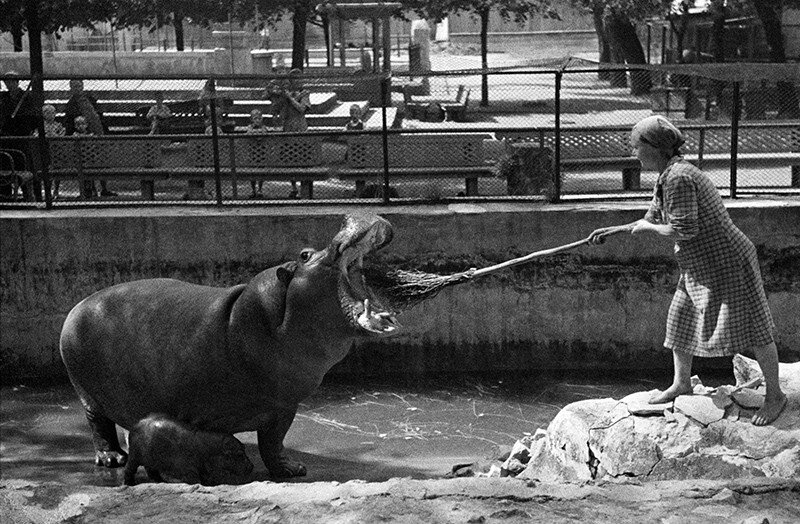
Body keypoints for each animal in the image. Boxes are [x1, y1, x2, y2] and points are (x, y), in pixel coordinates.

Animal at [124, 414, 253, 488]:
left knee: (151, 471)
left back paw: (160, 481)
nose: (251, 466)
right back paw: (129, 484)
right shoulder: (189, 470)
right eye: (239, 454)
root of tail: (136, 424)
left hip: (151, 459)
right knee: (129, 470)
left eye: (244, 448)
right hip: (134, 456)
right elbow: (195, 480)